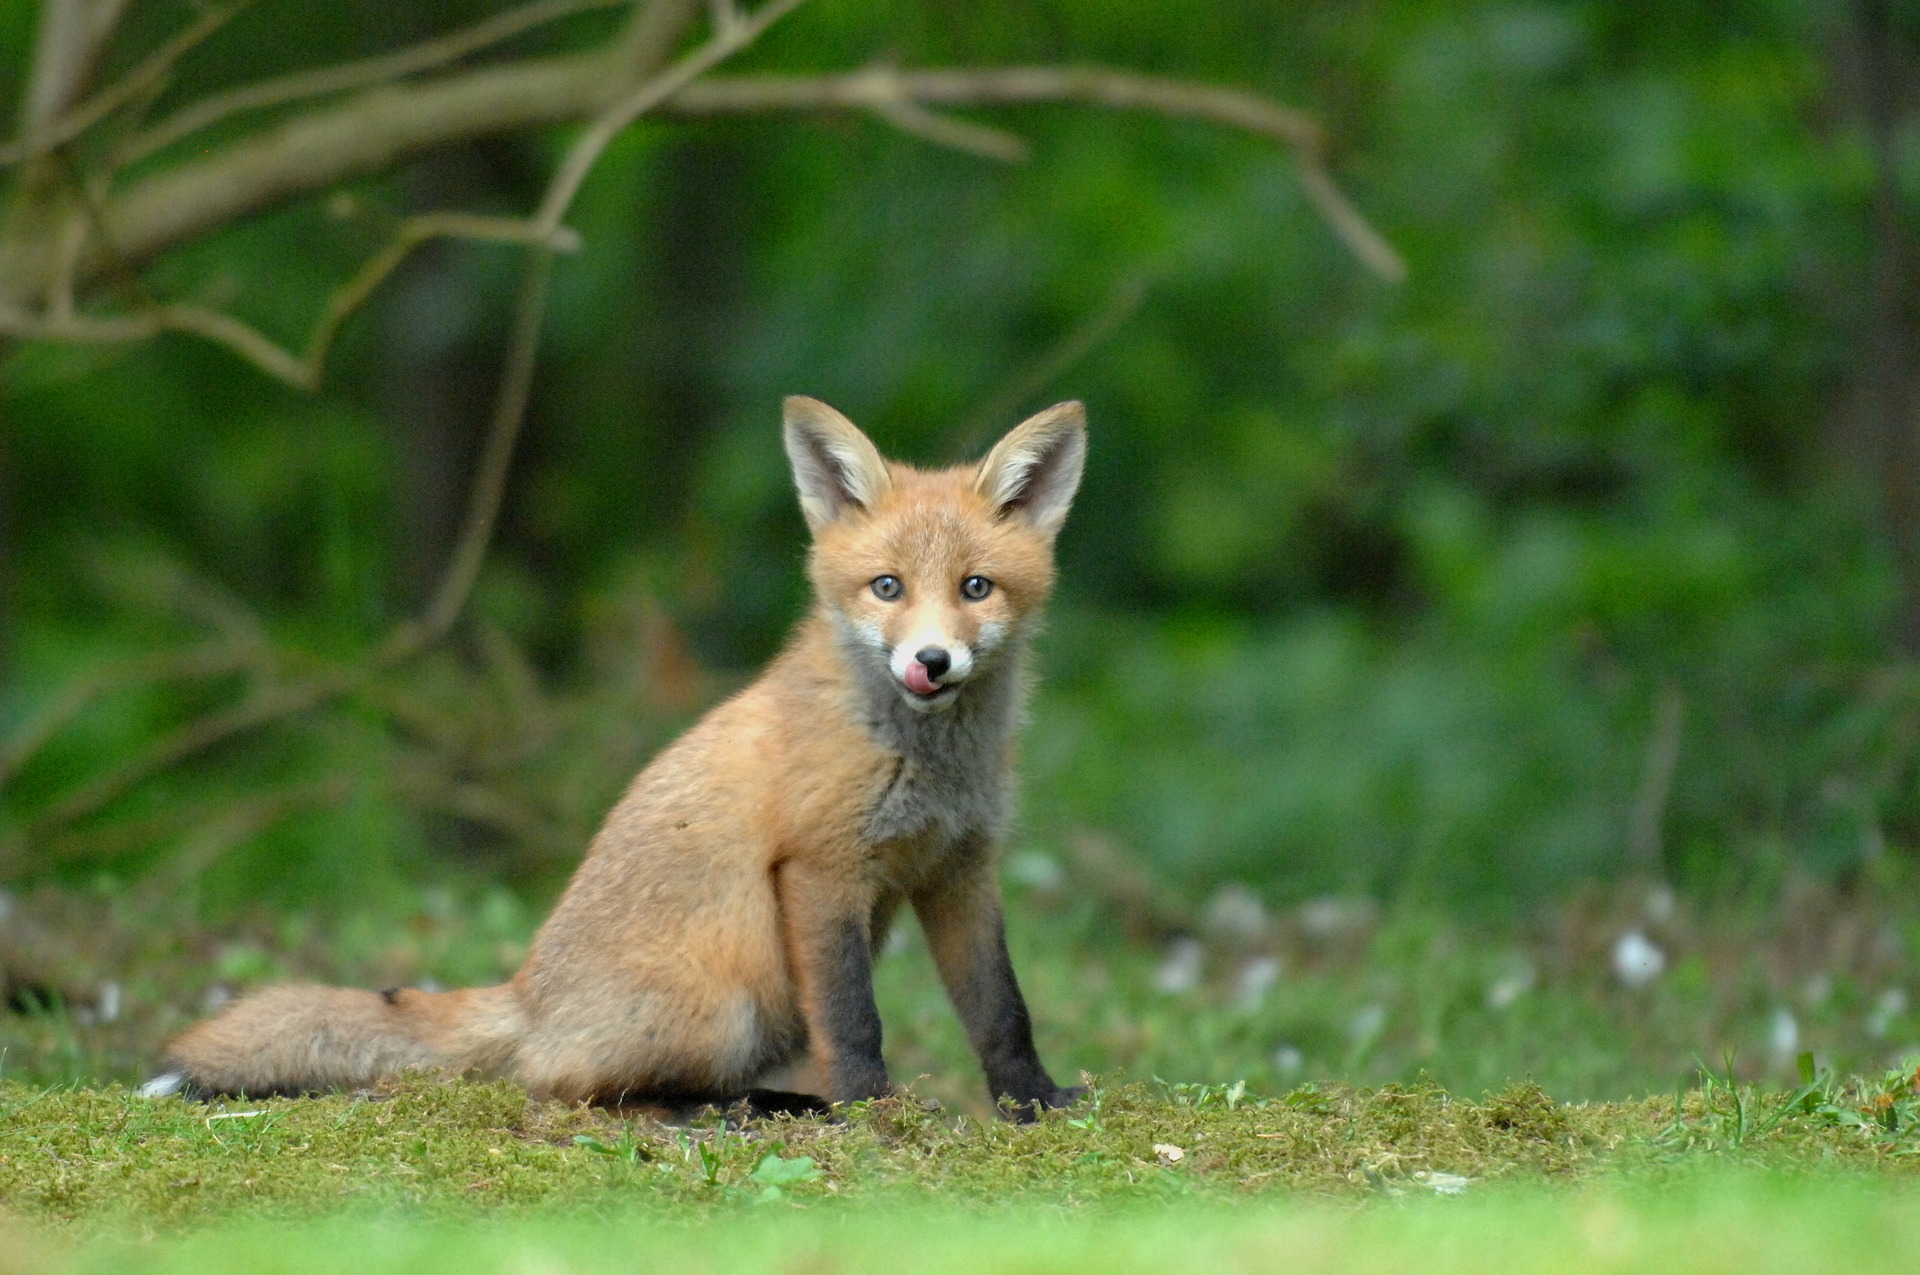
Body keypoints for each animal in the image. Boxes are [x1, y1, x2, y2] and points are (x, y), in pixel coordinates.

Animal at [140, 395, 1090, 1113]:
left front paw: (1036, 1102)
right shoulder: (821, 869)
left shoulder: (959, 869)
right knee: (571, 1085)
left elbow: (1001, 1010)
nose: (930, 662)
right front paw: (871, 1109)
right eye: (887, 587)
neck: (926, 761)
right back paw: (751, 1107)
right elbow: (856, 1019)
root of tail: (527, 993)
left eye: (975, 587)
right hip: (734, 1002)